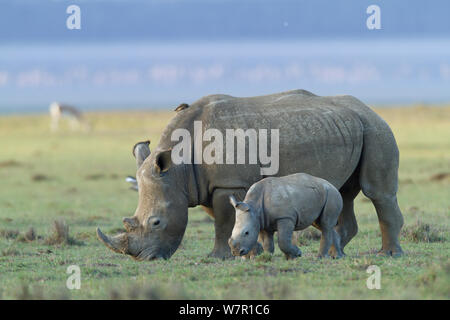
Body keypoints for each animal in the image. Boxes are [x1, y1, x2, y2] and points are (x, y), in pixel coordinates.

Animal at [97, 89, 404, 260]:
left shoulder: (228, 183)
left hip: (375, 127)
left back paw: (388, 255)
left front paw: (219, 257)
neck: (178, 168)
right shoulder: (205, 184)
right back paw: (334, 251)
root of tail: (367, 107)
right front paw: (251, 251)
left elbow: (223, 222)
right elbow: (229, 218)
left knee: (377, 192)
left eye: (157, 222)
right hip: (349, 127)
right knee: (343, 194)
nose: (144, 260)